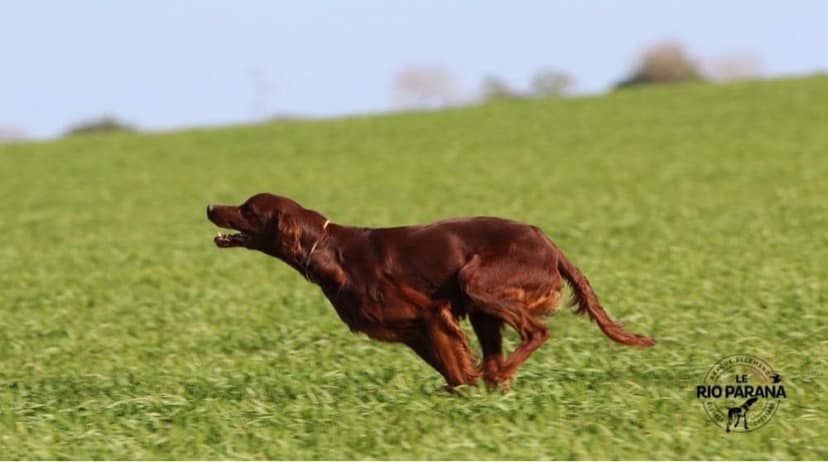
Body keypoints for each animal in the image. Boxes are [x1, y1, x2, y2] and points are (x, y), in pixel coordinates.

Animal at [205, 193, 652, 388]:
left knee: (537, 332)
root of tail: (549, 243)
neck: (329, 250)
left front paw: (466, 392)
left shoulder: (429, 314)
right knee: (501, 351)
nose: (210, 207)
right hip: (480, 307)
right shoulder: (416, 330)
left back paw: (500, 375)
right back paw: (498, 383)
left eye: (247, 208)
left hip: (476, 282)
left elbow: (455, 369)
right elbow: (451, 369)